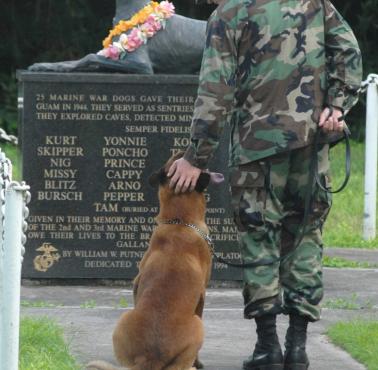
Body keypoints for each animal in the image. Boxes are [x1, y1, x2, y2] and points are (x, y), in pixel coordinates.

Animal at [86, 153, 223, 370]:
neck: (179, 222)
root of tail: (150, 358)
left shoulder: (136, 283)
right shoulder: (202, 295)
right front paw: (199, 362)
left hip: (124, 318)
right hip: (198, 326)